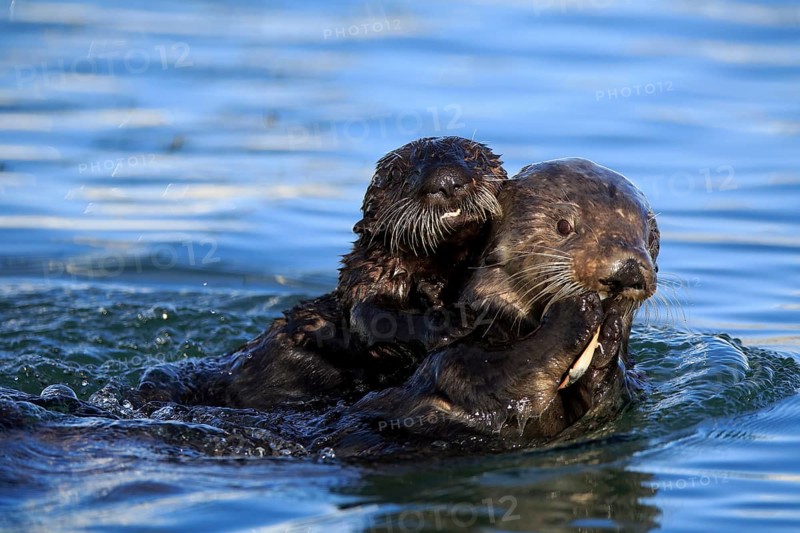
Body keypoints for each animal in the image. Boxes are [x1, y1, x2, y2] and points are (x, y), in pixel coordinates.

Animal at [135, 137, 507, 410]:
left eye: (474, 158)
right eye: (404, 176)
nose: (447, 179)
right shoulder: (368, 278)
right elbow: (375, 321)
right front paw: (455, 321)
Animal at [315, 158, 660, 457]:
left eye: (650, 239)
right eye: (563, 226)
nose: (627, 271)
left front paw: (610, 335)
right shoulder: (461, 369)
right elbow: (483, 372)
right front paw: (574, 312)